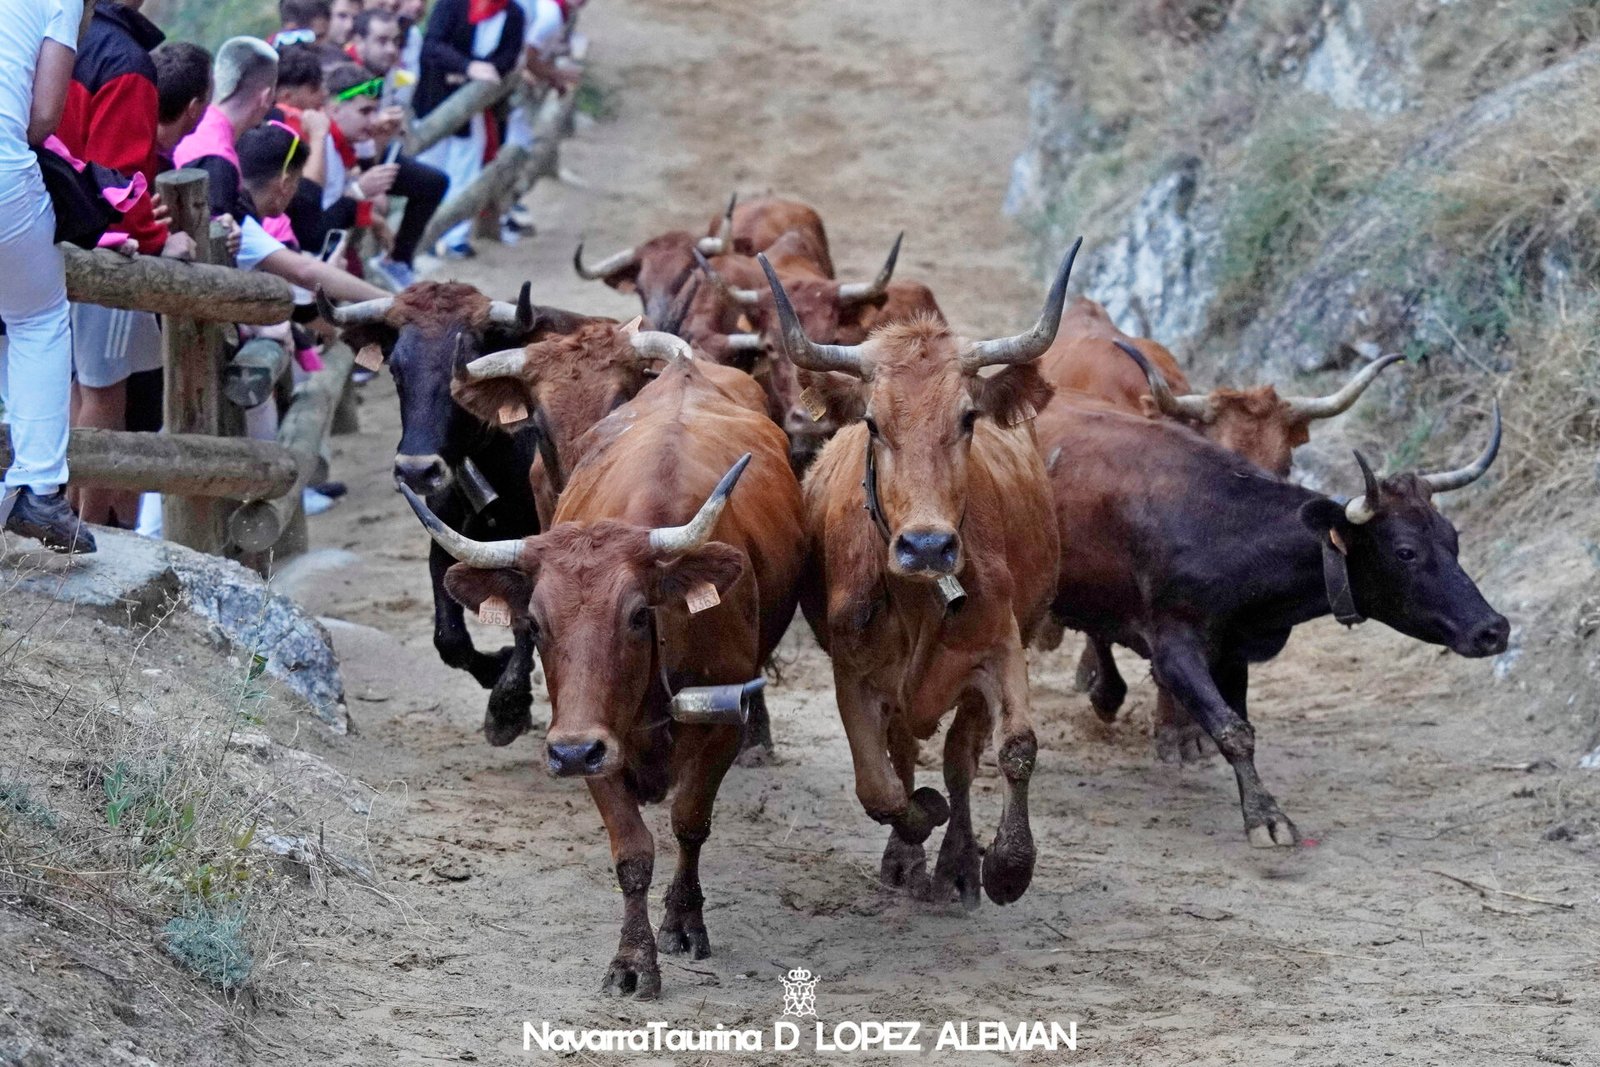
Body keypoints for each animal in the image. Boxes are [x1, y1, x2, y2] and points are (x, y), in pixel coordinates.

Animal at [395, 351, 806, 1004]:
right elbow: (632, 852)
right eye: (534, 623)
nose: (570, 754)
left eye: (638, 614)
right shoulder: (589, 737)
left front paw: (683, 922)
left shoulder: (716, 727)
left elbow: (690, 821)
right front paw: (633, 960)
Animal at [768, 239, 1081, 908]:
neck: (918, 603)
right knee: (905, 754)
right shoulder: (853, 674)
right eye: (872, 422)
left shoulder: (1000, 646)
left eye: (967, 419)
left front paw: (1008, 865)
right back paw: (908, 857)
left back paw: (959, 862)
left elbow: (1015, 748)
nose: (928, 546)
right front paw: (919, 818)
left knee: (961, 755)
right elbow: (878, 785)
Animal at [1030, 388, 1504, 844]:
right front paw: (1266, 818)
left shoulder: (1233, 651)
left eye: (1453, 539)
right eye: (1406, 551)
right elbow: (1232, 731)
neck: (1225, 529)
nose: (1494, 630)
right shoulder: (1173, 649)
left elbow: (1242, 724)